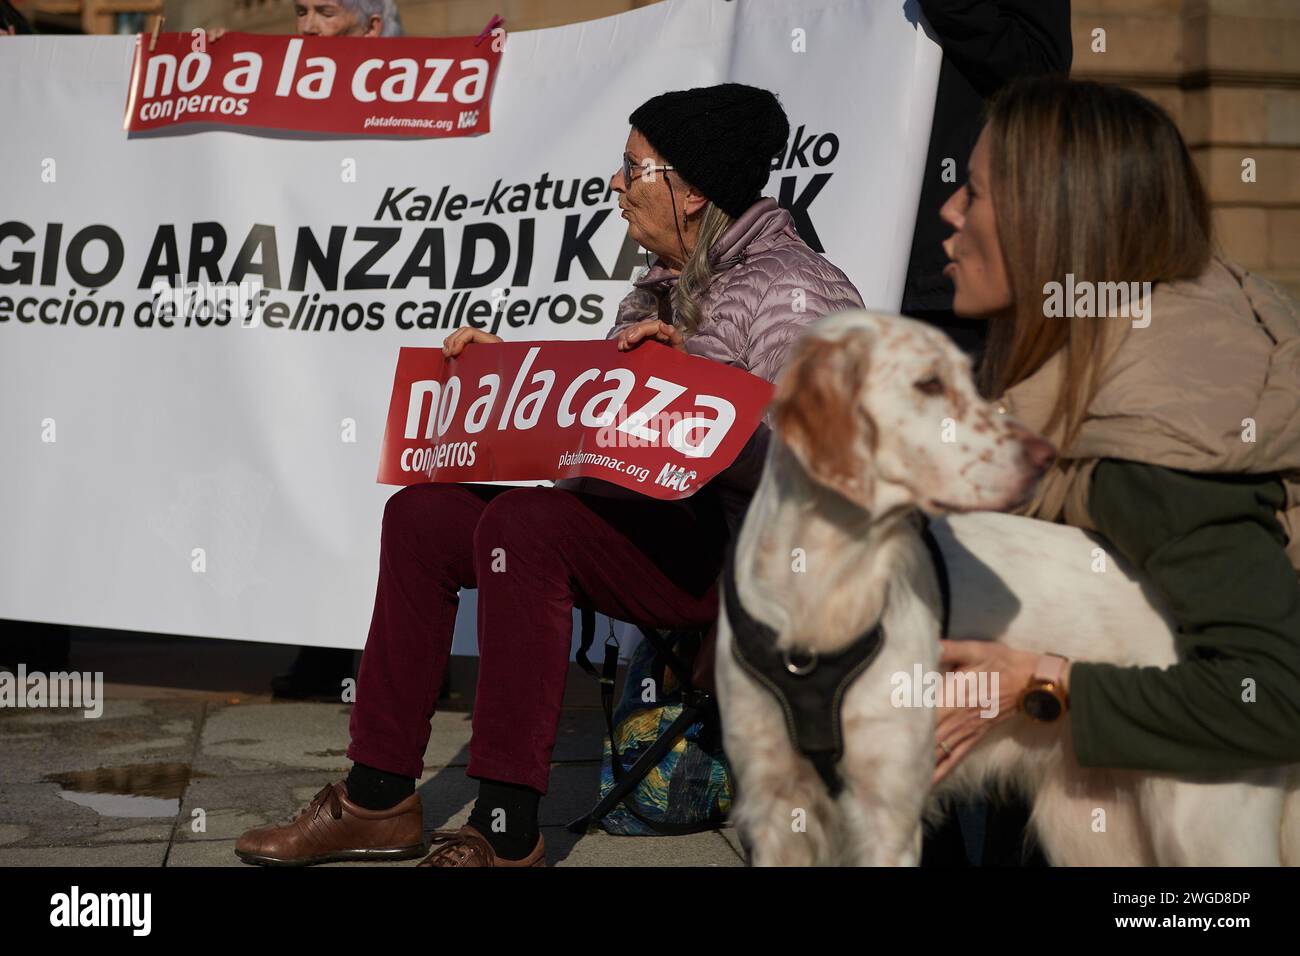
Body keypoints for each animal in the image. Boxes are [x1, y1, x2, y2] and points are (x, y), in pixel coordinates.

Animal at [717, 312, 1294, 868]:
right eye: (929, 383)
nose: (1045, 455)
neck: (827, 592)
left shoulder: (888, 817)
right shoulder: (773, 808)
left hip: (1205, 830)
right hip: (1089, 829)